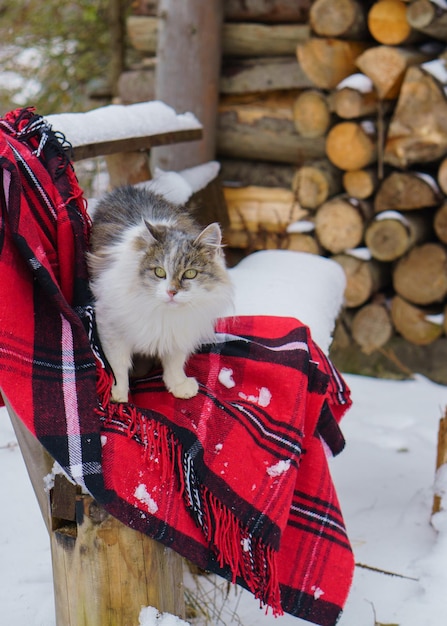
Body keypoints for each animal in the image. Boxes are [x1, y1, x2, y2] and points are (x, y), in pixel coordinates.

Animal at [88, 184, 234, 400]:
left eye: (190, 273)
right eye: (159, 272)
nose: (171, 292)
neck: (164, 313)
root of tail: (127, 189)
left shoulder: (178, 333)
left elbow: (175, 362)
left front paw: (179, 385)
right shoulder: (111, 327)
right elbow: (117, 366)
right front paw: (117, 394)